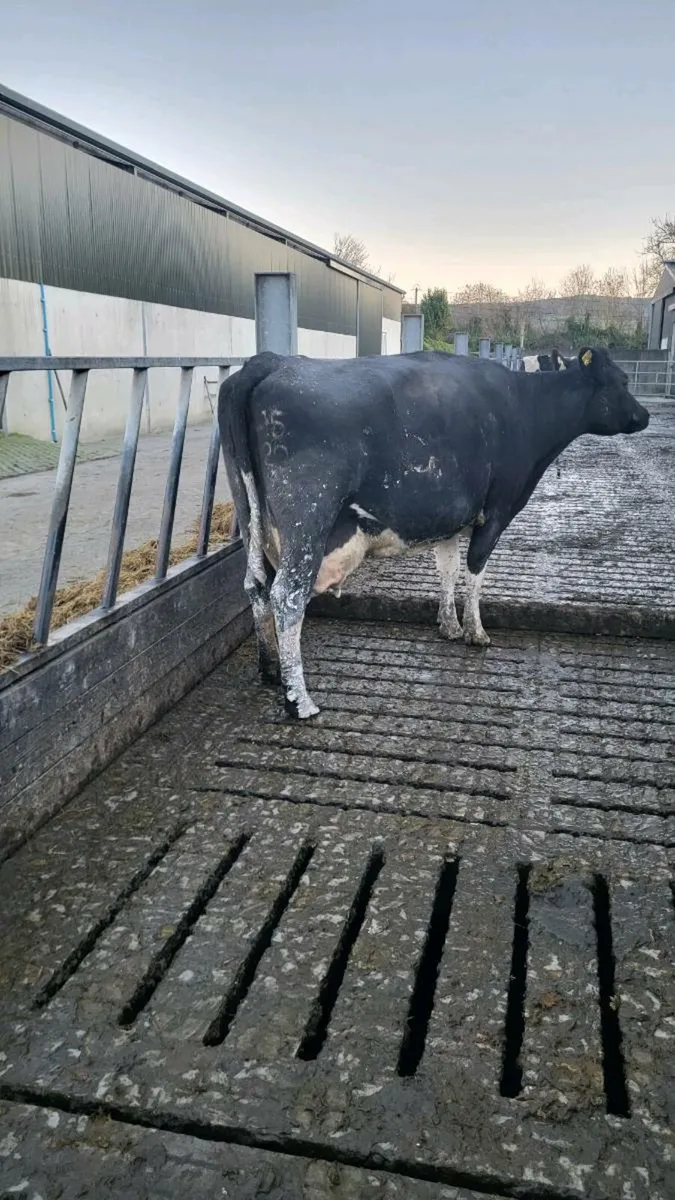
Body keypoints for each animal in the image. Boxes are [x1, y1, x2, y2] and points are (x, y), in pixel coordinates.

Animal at [219, 347, 649, 719]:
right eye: (623, 380)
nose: (644, 416)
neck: (525, 409)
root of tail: (269, 361)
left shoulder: (451, 516)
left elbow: (448, 569)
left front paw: (449, 625)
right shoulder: (497, 510)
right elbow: (475, 572)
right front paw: (476, 632)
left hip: (251, 516)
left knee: (256, 586)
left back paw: (270, 669)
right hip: (308, 516)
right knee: (288, 595)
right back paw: (299, 701)